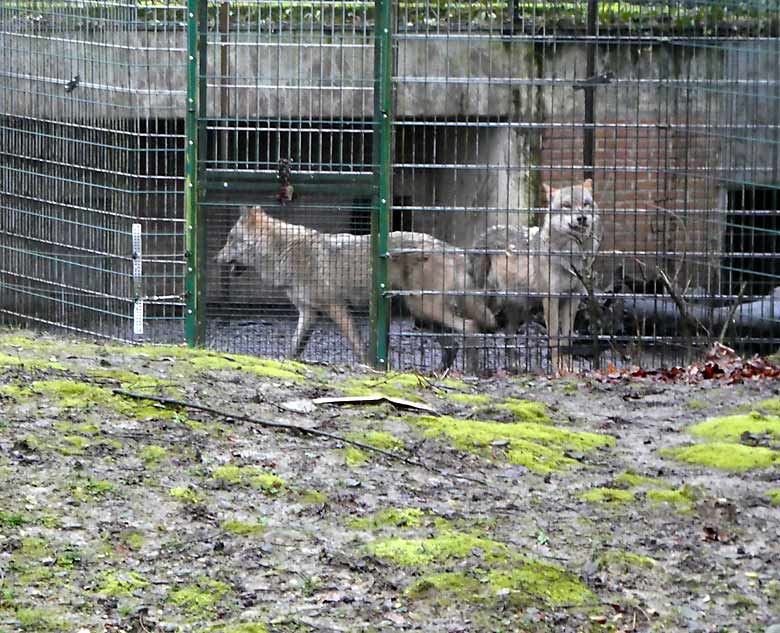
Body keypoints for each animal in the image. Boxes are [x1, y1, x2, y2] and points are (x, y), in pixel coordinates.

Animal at [215, 205, 494, 368]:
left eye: (230, 240)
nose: (216, 259)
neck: (284, 252)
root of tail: (453, 249)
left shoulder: (336, 306)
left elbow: (357, 345)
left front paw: (368, 368)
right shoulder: (309, 312)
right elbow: (295, 346)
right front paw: (286, 365)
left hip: (426, 309)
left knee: (471, 329)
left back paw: (472, 372)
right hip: (423, 314)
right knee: (453, 344)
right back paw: (439, 375)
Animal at [470, 179, 604, 370]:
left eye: (585, 204)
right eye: (566, 205)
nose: (582, 218)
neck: (571, 256)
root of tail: (484, 233)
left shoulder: (573, 299)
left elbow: (567, 338)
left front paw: (568, 368)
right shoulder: (551, 299)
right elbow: (554, 338)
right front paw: (557, 370)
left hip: (516, 310)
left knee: (508, 336)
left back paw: (514, 366)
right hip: (488, 301)